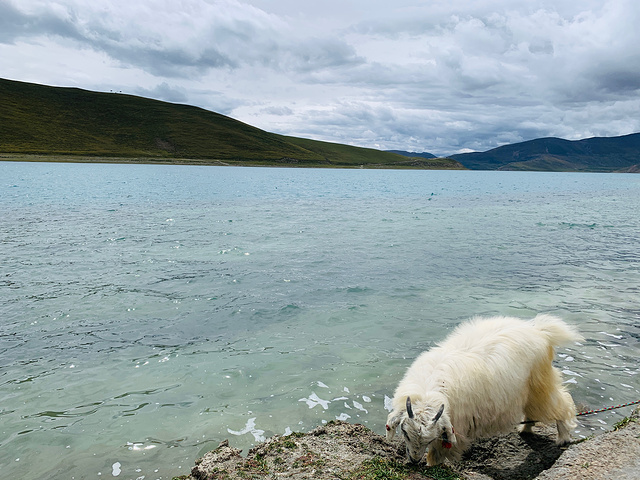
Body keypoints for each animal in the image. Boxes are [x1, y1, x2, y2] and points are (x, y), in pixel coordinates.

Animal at [388, 316, 584, 464]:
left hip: (539, 385)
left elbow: (438, 453)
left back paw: (563, 437)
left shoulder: (454, 425)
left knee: (560, 404)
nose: (414, 461)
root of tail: (541, 331)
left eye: (428, 439)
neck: (428, 389)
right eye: (405, 433)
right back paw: (525, 428)